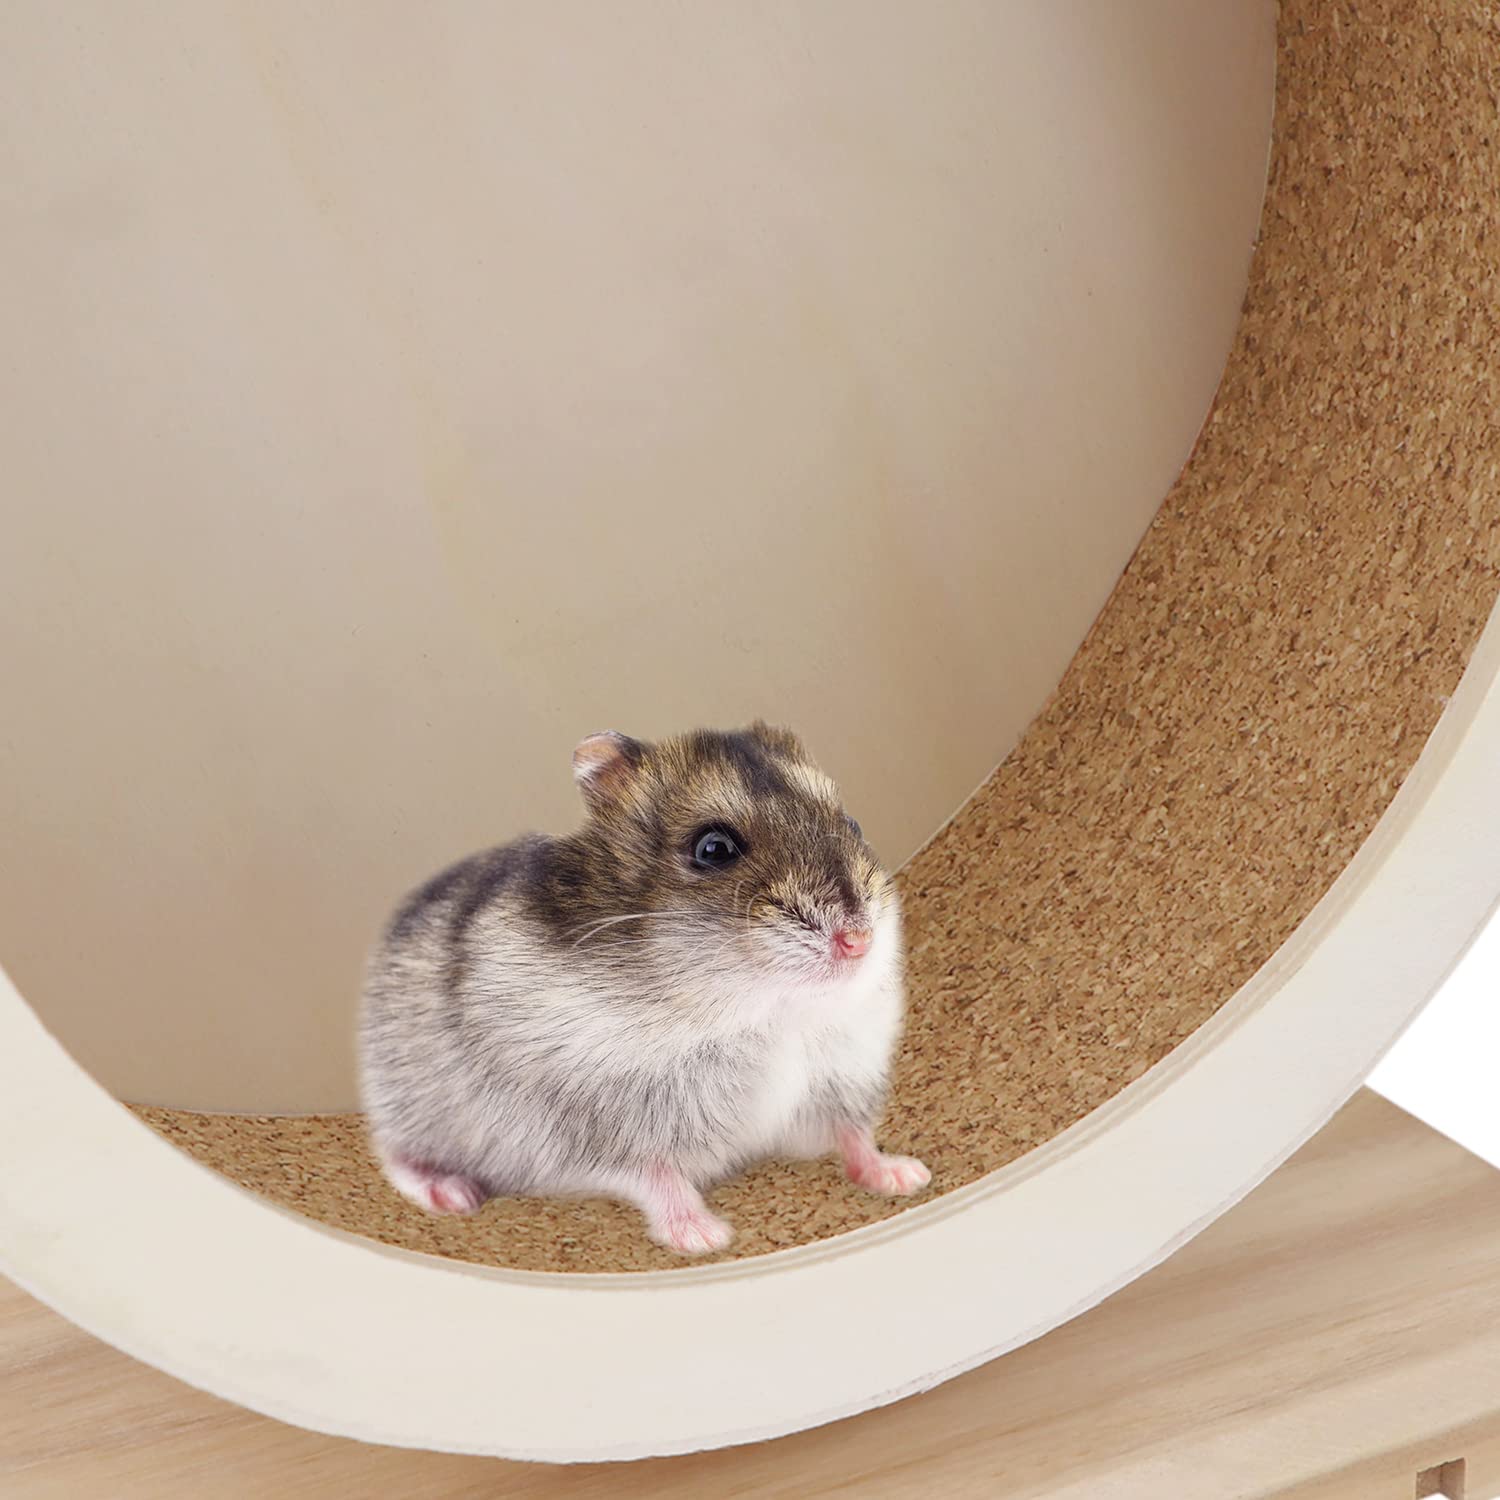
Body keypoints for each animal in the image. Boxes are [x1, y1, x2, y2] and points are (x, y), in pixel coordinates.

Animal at [358, 722, 929, 1255]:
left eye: (852, 823)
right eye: (714, 848)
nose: (858, 940)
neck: (762, 1010)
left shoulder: (840, 1078)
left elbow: (854, 1136)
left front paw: (907, 1176)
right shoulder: (597, 1127)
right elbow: (655, 1174)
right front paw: (706, 1238)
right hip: (409, 1104)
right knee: (392, 1153)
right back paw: (452, 1194)